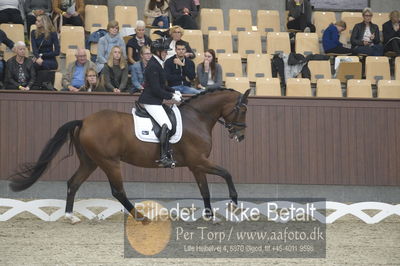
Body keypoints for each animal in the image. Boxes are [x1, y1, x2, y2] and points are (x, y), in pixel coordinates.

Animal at [9, 88, 250, 223]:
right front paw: (234, 203)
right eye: (243, 109)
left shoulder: (196, 165)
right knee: (117, 191)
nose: (240, 136)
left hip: (90, 162)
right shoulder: (199, 161)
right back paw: (142, 218)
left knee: (73, 183)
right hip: (109, 162)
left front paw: (210, 216)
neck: (197, 118)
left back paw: (70, 217)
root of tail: (84, 121)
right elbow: (226, 173)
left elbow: (205, 190)